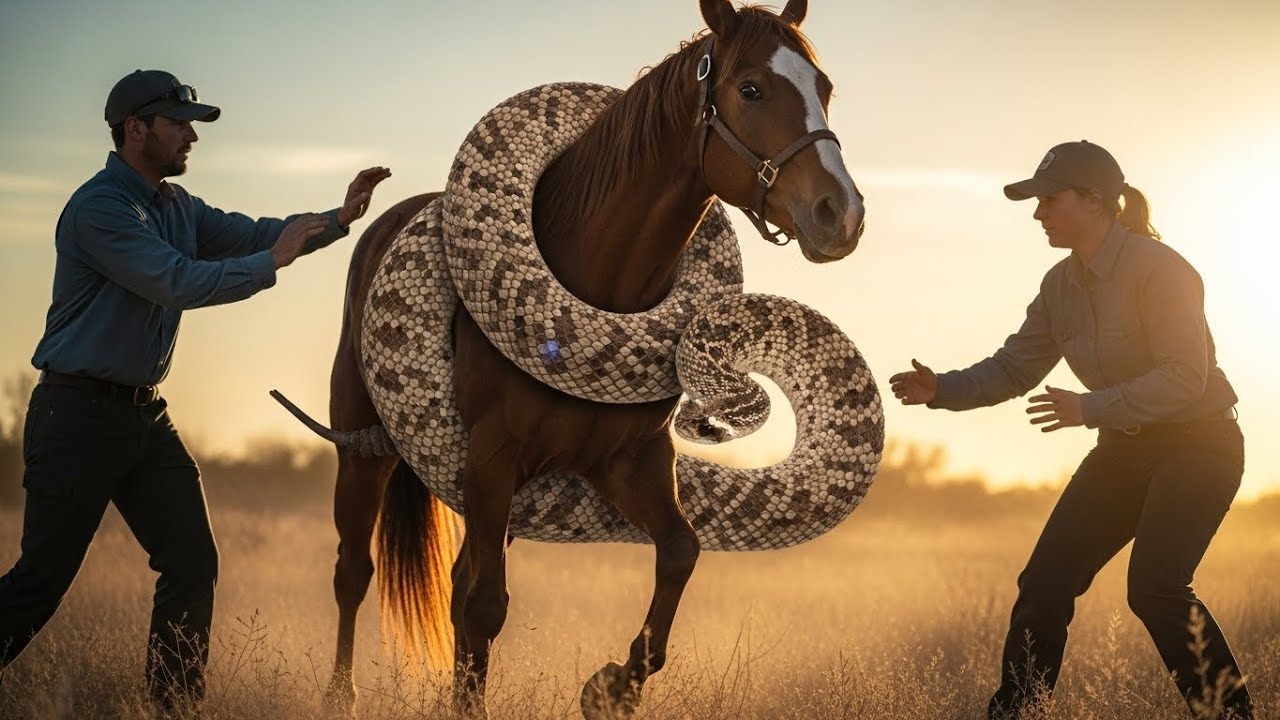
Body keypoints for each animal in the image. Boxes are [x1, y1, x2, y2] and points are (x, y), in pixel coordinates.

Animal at [313, 0, 864, 716]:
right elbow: (486, 606)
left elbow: (679, 553)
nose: (841, 214)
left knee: (456, 581)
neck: (600, 278)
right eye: (750, 89)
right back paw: (338, 695)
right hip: (367, 444)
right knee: (355, 570)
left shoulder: (630, 461)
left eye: (824, 88)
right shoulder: (492, 459)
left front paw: (612, 686)